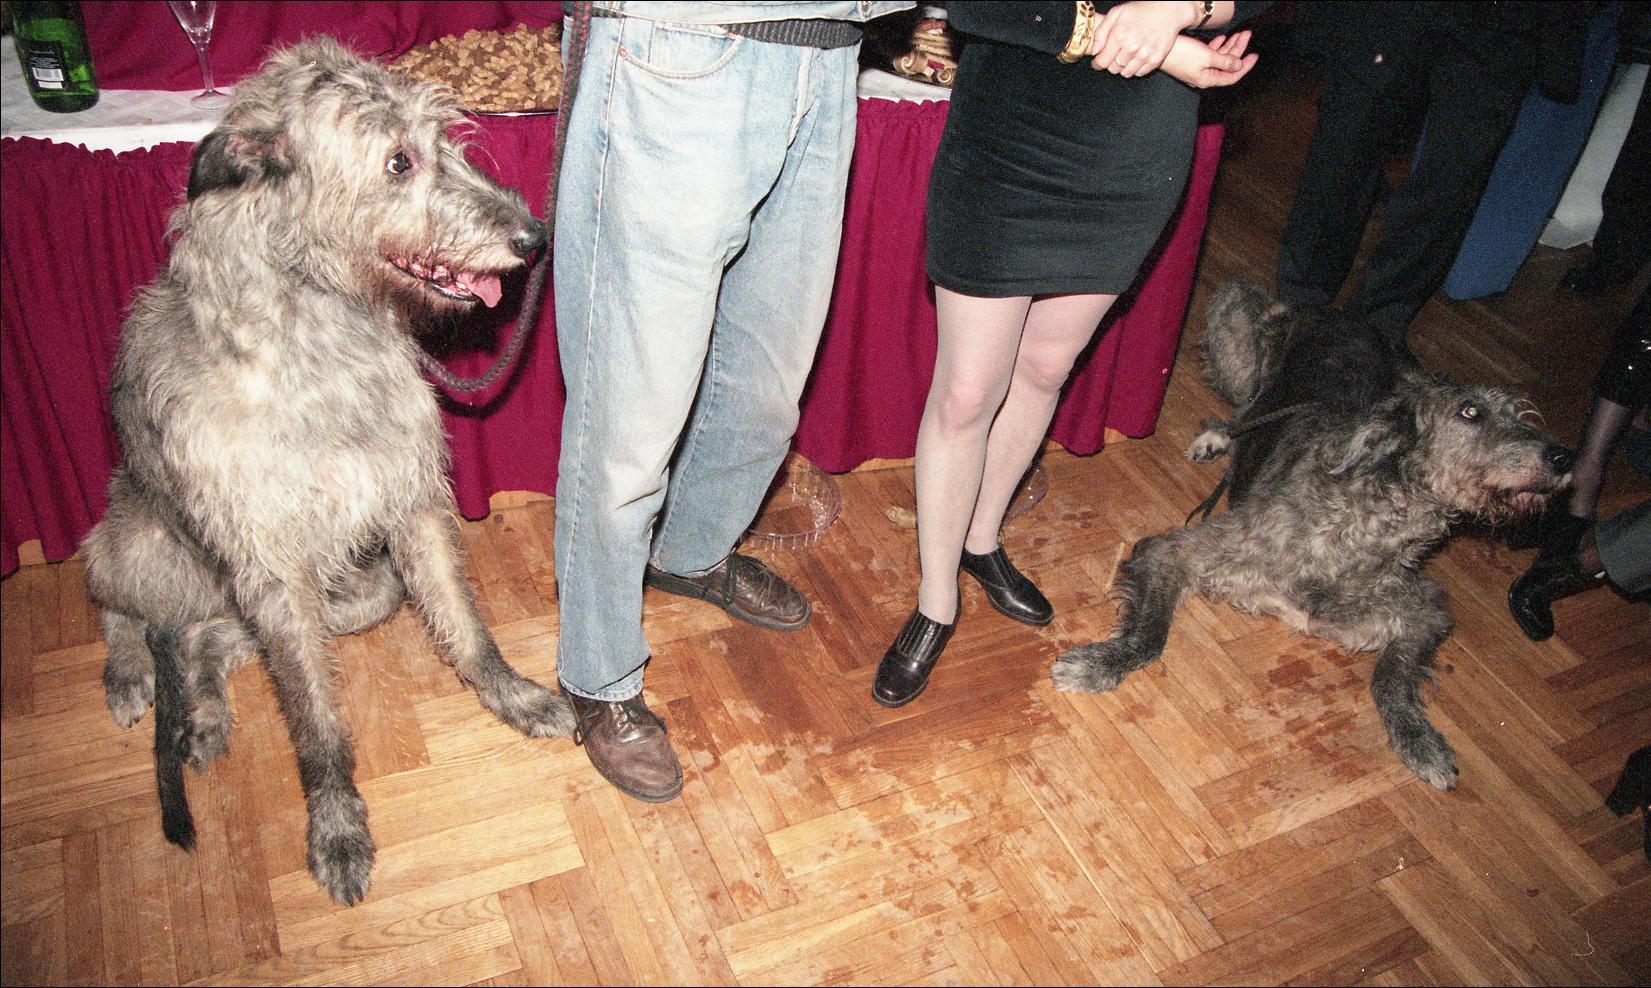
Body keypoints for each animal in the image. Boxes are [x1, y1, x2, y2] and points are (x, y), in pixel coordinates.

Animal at [81, 38, 574, 905]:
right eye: (398, 161)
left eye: (447, 140)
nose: (533, 236)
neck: (322, 330)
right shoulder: (272, 562)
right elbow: (313, 716)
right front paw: (335, 818)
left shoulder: (409, 499)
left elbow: (462, 621)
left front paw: (508, 692)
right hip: (141, 541)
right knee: (123, 602)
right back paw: (131, 670)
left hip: (347, 592)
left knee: (208, 637)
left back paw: (203, 708)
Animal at [1052, 281, 1573, 790]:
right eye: (1469, 411)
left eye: (1521, 415)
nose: (1563, 457)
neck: (1365, 523)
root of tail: (1336, 312)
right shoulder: (1180, 550)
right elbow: (1149, 636)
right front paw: (1100, 664)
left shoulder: (1425, 611)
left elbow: (1393, 676)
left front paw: (1419, 740)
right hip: (1234, 312)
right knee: (1244, 405)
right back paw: (1217, 435)